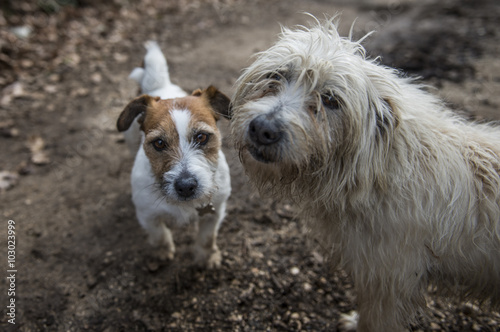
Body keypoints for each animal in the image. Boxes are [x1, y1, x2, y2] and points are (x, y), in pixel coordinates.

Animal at [118, 42, 231, 270]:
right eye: (159, 143)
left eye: (201, 137)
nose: (186, 186)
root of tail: (159, 86)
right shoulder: (147, 215)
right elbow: (159, 236)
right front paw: (162, 253)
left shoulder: (216, 211)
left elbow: (207, 238)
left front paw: (207, 257)